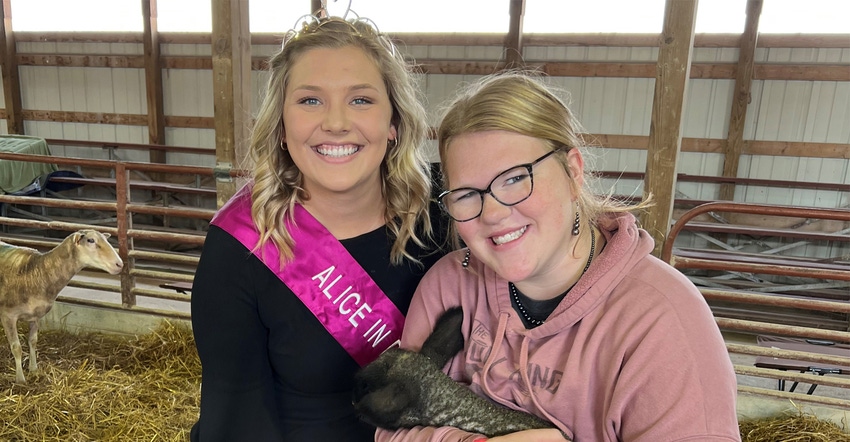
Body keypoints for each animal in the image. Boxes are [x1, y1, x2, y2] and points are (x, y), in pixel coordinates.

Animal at [0, 230, 124, 382]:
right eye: (90, 240)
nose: (119, 264)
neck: (35, 272)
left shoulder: (35, 315)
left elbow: (32, 341)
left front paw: (34, 369)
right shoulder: (8, 315)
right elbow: (16, 348)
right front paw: (20, 379)